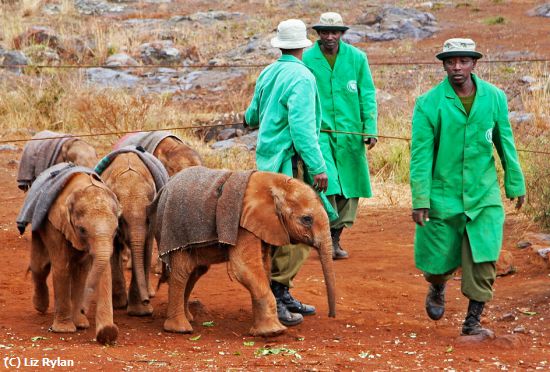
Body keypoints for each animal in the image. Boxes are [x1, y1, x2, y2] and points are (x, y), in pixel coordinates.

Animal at [17, 164, 121, 344]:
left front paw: (104, 332)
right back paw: (40, 307)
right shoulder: (55, 223)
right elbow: (61, 267)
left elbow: (94, 271)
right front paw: (64, 330)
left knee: (77, 270)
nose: (84, 309)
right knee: (40, 266)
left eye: (116, 230)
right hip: (39, 225)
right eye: (82, 230)